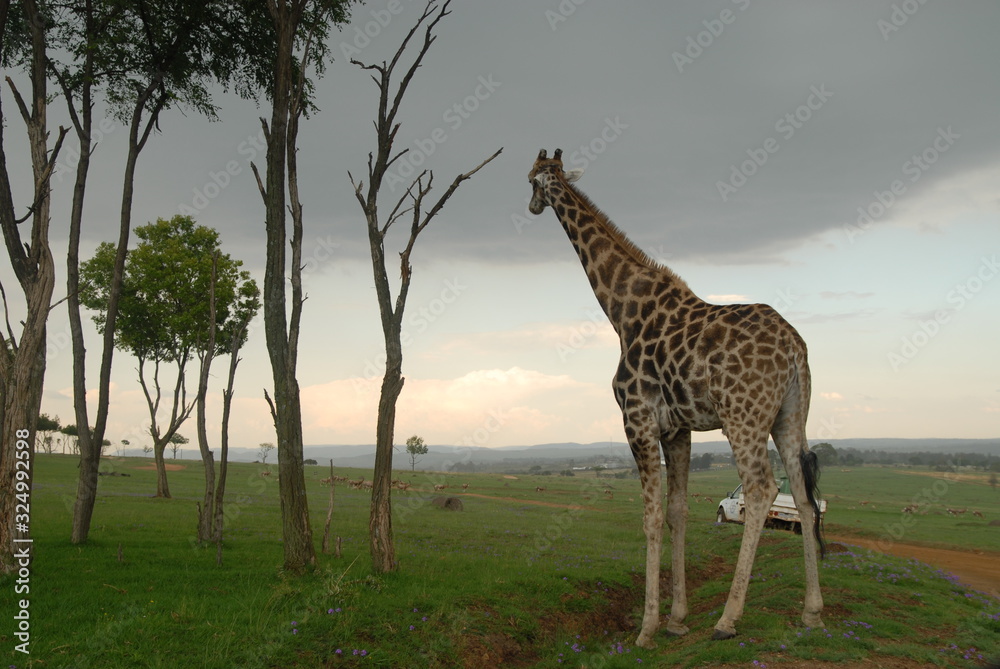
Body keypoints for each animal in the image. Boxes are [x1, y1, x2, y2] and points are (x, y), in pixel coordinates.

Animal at [527, 149, 825, 647]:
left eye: (531, 179)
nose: (531, 207)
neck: (622, 313)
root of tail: (795, 348)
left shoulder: (638, 419)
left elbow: (650, 517)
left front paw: (647, 627)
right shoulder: (678, 429)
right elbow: (678, 512)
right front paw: (676, 618)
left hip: (743, 417)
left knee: (762, 489)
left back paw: (728, 619)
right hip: (789, 414)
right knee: (802, 494)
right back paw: (812, 611)